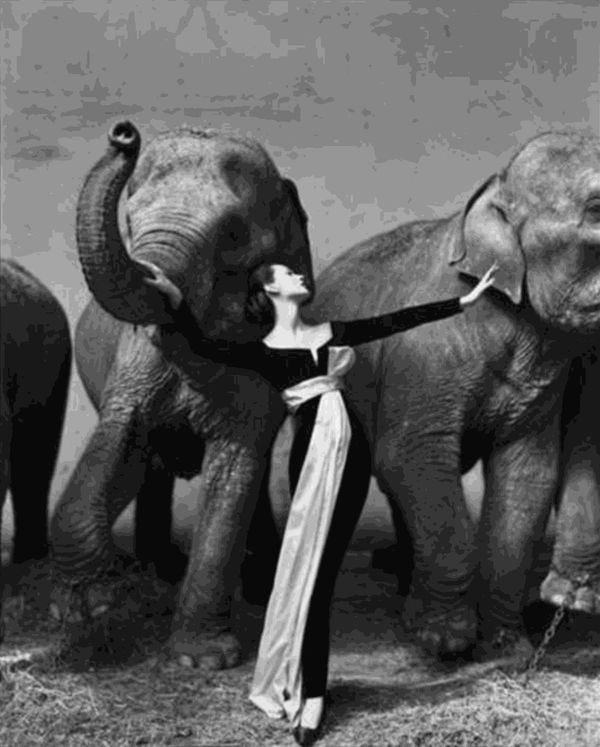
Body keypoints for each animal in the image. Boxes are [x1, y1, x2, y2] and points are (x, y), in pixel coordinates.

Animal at [50, 120, 313, 668]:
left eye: (232, 232)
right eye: (130, 220)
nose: (124, 134)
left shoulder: (262, 359)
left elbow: (235, 468)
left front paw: (201, 661)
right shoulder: (134, 362)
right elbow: (121, 441)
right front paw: (89, 607)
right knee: (150, 469)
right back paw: (158, 570)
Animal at [305, 127, 600, 657]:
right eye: (597, 208)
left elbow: (528, 475)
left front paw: (508, 647)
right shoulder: (426, 356)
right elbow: (412, 455)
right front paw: (446, 641)